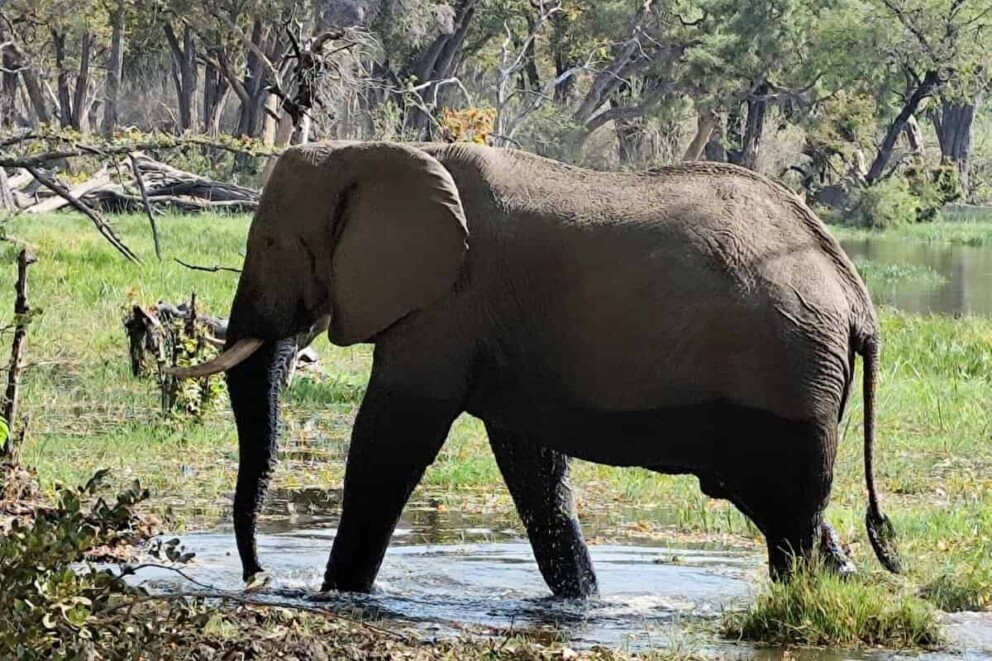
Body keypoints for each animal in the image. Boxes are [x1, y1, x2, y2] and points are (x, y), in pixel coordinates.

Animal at [172, 140, 901, 599]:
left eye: (272, 243)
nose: (259, 577)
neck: (382, 150)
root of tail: (856, 294)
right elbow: (532, 465)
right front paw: (583, 603)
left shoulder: (449, 304)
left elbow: (392, 439)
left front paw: (336, 595)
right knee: (788, 509)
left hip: (789, 369)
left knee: (789, 516)